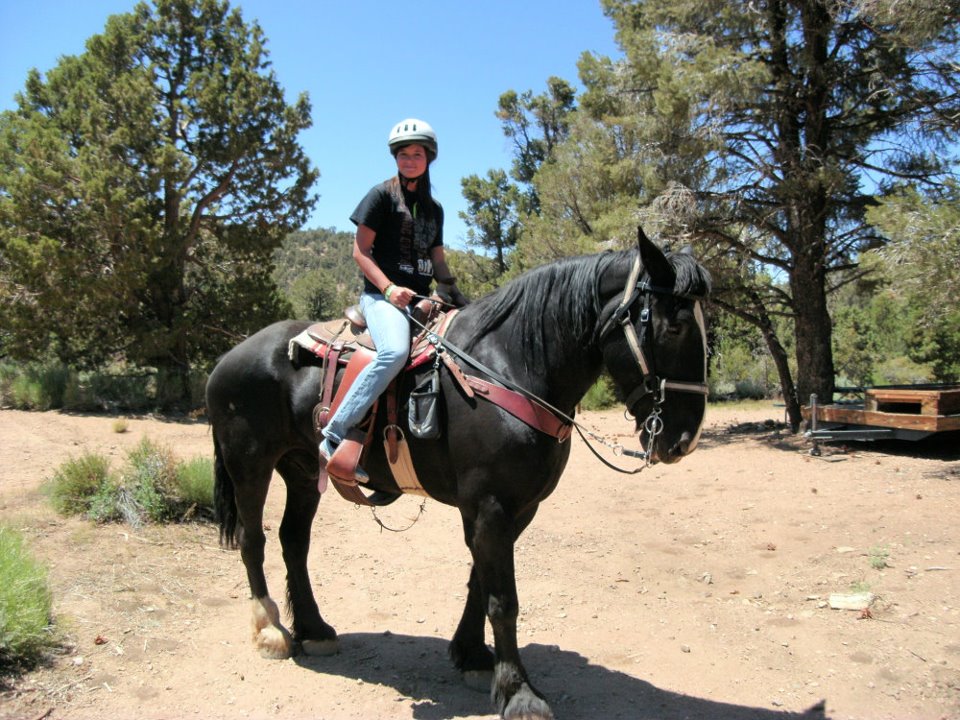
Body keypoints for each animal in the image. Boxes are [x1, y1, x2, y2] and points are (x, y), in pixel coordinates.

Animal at [206, 231, 708, 720]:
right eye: (675, 326)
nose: (684, 439)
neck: (509, 366)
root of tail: (226, 358)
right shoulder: (490, 505)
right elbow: (503, 599)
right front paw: (518, 693)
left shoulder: (514, 509)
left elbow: (479, 582)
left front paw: (473, 656)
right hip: (249, 464)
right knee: (254, 540)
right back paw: (271, 631)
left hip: (303, 470)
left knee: (294, 540)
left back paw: (313, 629)